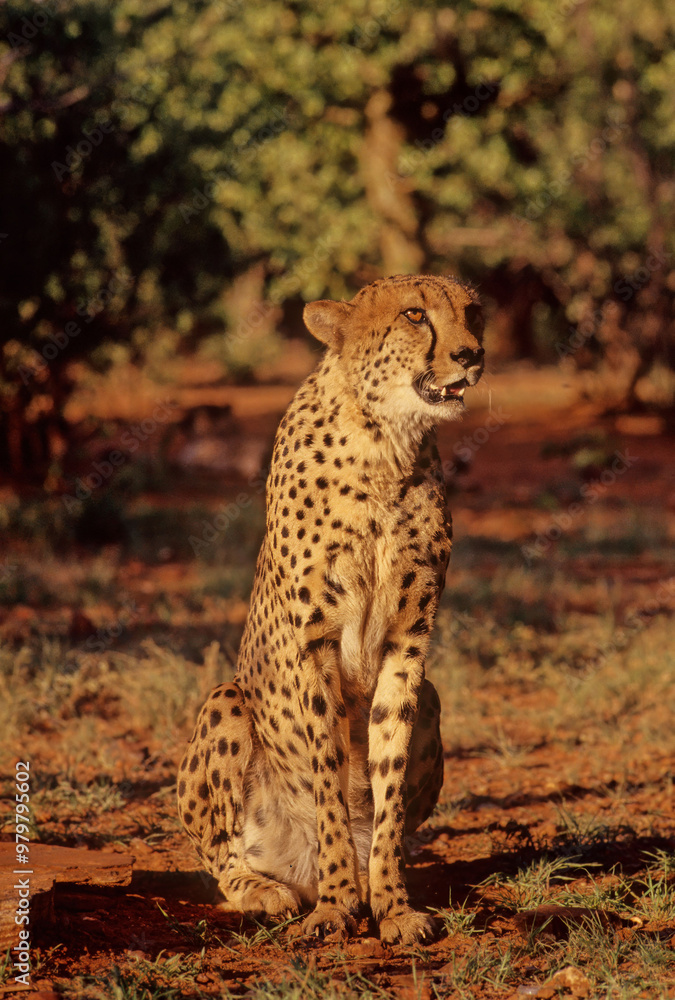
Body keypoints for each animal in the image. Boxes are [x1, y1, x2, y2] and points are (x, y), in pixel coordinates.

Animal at [177, 273, 484, 944]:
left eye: (474, 312)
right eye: (415, 314)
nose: (472, 354)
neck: (386, 444)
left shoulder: (408, 639)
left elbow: (386, 770)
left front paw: (390, 904)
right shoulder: (312, 640)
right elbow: (327, 766)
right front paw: (339, 904)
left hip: (434, 696)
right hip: (226, 700)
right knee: (223, 859)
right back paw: (270, 890)